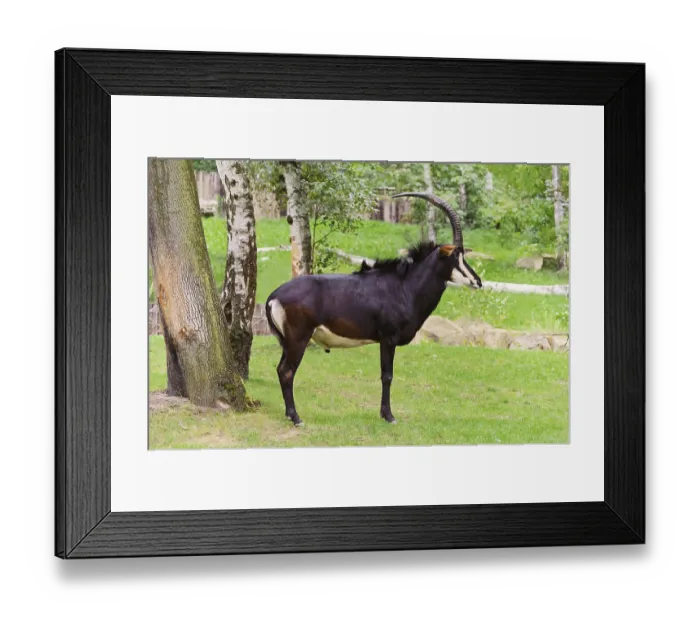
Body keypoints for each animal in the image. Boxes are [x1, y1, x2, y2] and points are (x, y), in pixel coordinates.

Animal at [266, 193, 482, 426]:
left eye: (463, 255)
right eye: (454, 257)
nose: (478, 282)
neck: (404, 286)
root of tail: (273, 297)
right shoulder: (388, 338)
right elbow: (387, 376)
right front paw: (388, 415)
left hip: (288, 342)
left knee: (280, 370)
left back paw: (290, 414)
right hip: (299, 339)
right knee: (287, 372)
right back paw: (296, 417)